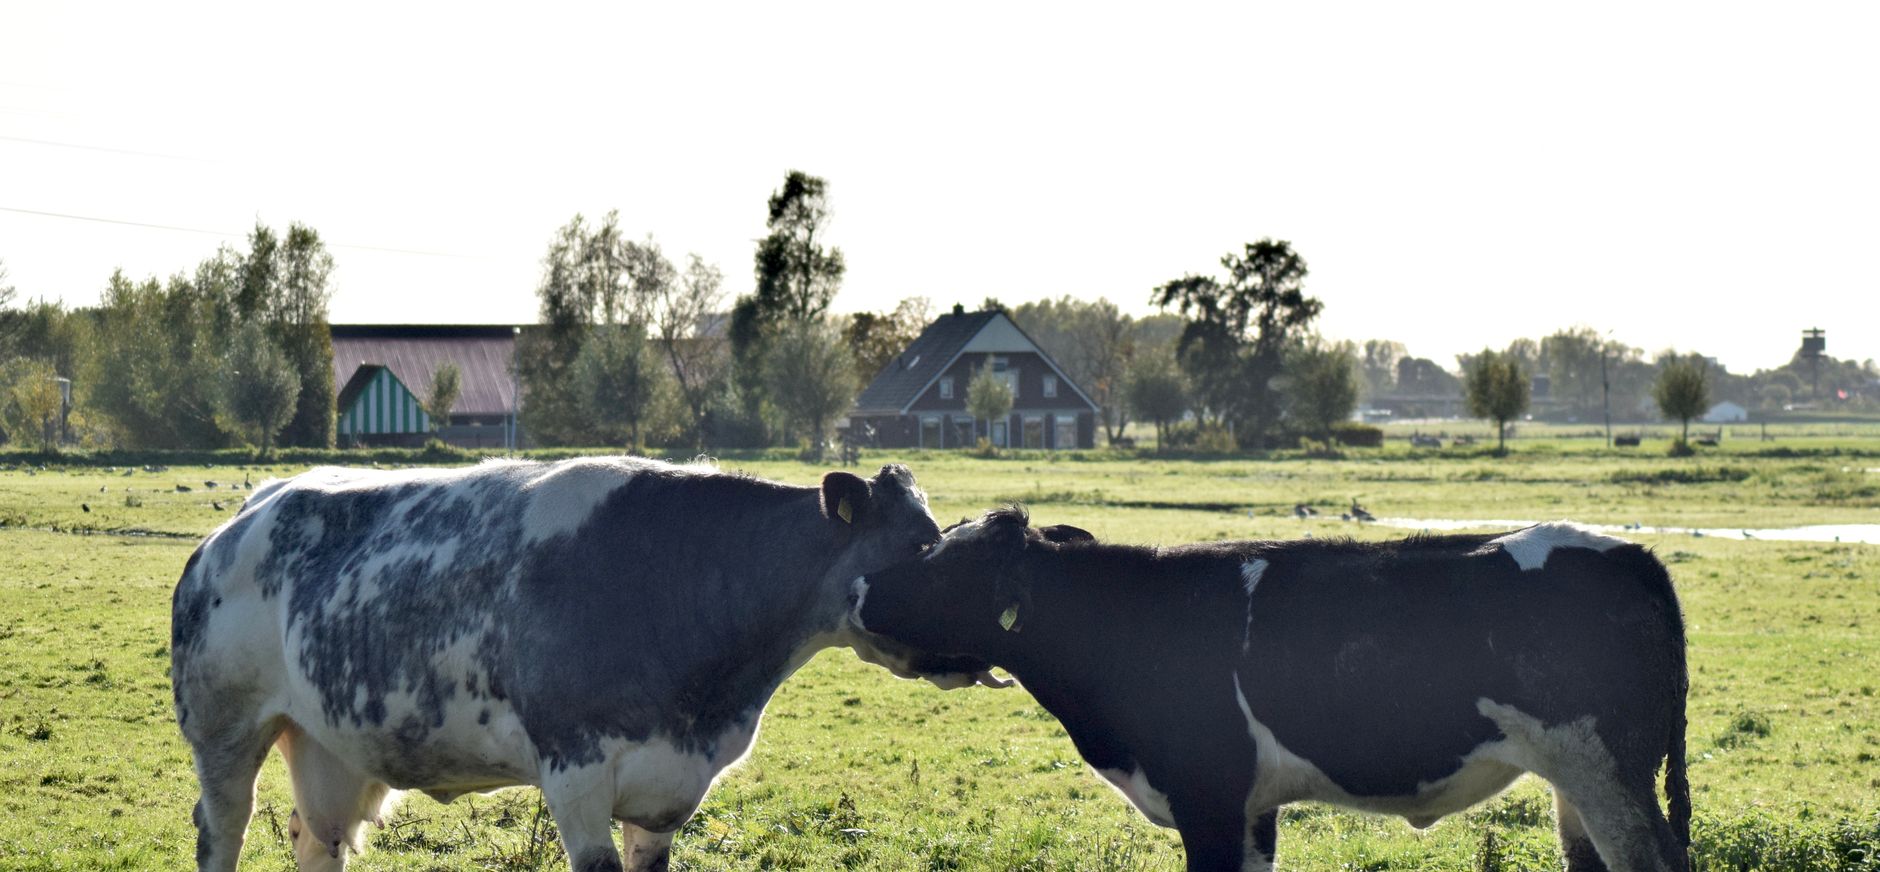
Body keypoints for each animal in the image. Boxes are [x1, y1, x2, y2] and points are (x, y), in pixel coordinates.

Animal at [171, 458, 1001, 872]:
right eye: (924, 548)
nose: (992, 646)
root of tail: (253, 509)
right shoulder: (574, 771)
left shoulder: (667, 793)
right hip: (224, 730)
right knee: (223, 828)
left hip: (330, 746)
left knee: (319, 839)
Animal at [855, 508, 1691, 872]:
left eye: (941, 563)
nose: (861, 590)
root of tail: (1631, 553)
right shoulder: (1253, 809)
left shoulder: (1209, 797)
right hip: (1576, 782)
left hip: (1605, 768)